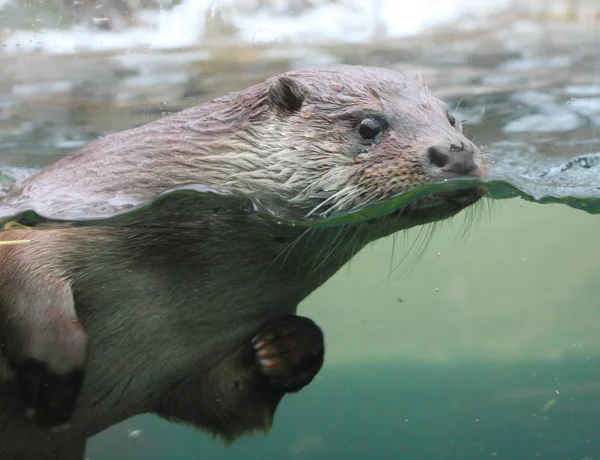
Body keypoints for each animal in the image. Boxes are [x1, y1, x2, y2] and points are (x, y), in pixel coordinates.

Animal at [0, 63, 488, 458]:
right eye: (369, 125)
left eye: (450, 116)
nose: (456, 151)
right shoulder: (43, 225)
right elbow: (23, 269)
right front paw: (52, 377)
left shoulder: (190, 371)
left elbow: (229, 405)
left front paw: (290, 345)